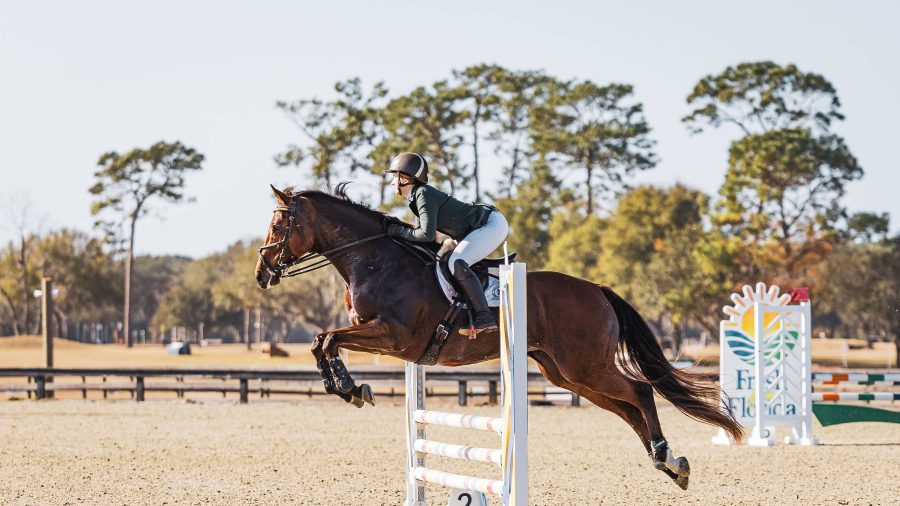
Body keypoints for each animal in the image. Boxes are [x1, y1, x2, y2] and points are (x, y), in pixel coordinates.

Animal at [255, 184, 743, 490]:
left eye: (279, 225)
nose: (262, 274)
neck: (372, 258)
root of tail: (597, 289)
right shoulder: (383, 337)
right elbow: (322, 341)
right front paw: (345, 387)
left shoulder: (393, 336)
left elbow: (328, 338)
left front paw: (352, 388)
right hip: (565, 373)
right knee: (626, 407)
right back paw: (670, 464)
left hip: (587, 364)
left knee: (640, 393)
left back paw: (666, 457)